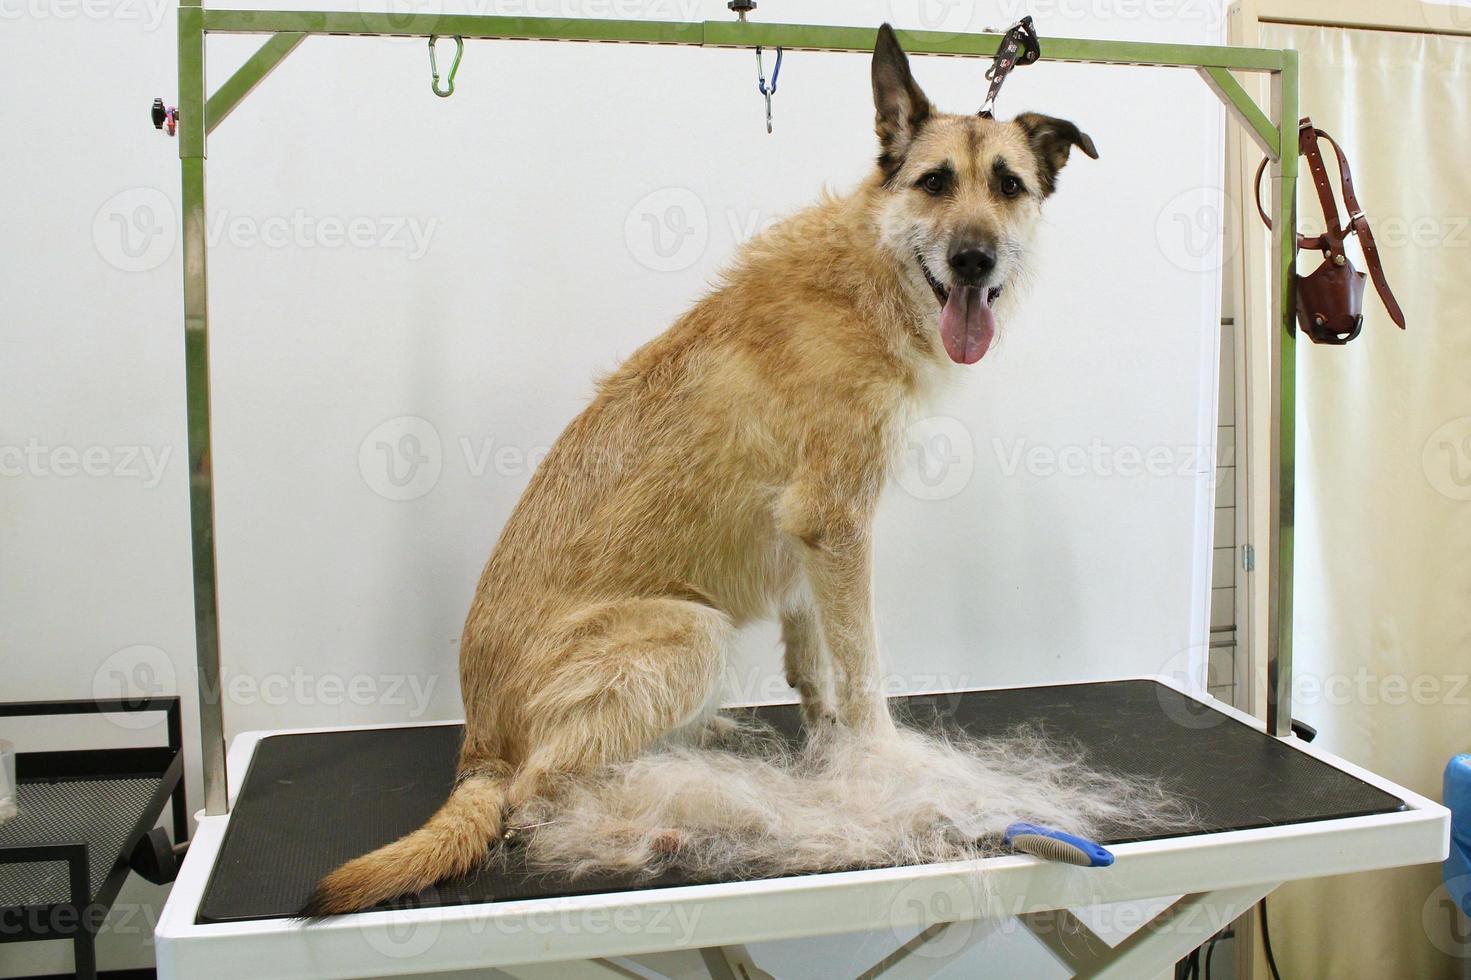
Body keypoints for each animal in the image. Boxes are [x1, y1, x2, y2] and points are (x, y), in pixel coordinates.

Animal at [304, 19, 1100, 912]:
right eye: (934, 183)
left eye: (1008, 185)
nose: (973, 261)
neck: (868, 279)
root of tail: (477, 745)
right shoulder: (837, 522)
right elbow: (863, 670)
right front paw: (885, 767)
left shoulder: (806, 545)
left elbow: (815, 663)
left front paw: (827, 743)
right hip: (691, 631)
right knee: (533, 793)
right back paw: (656, 816)